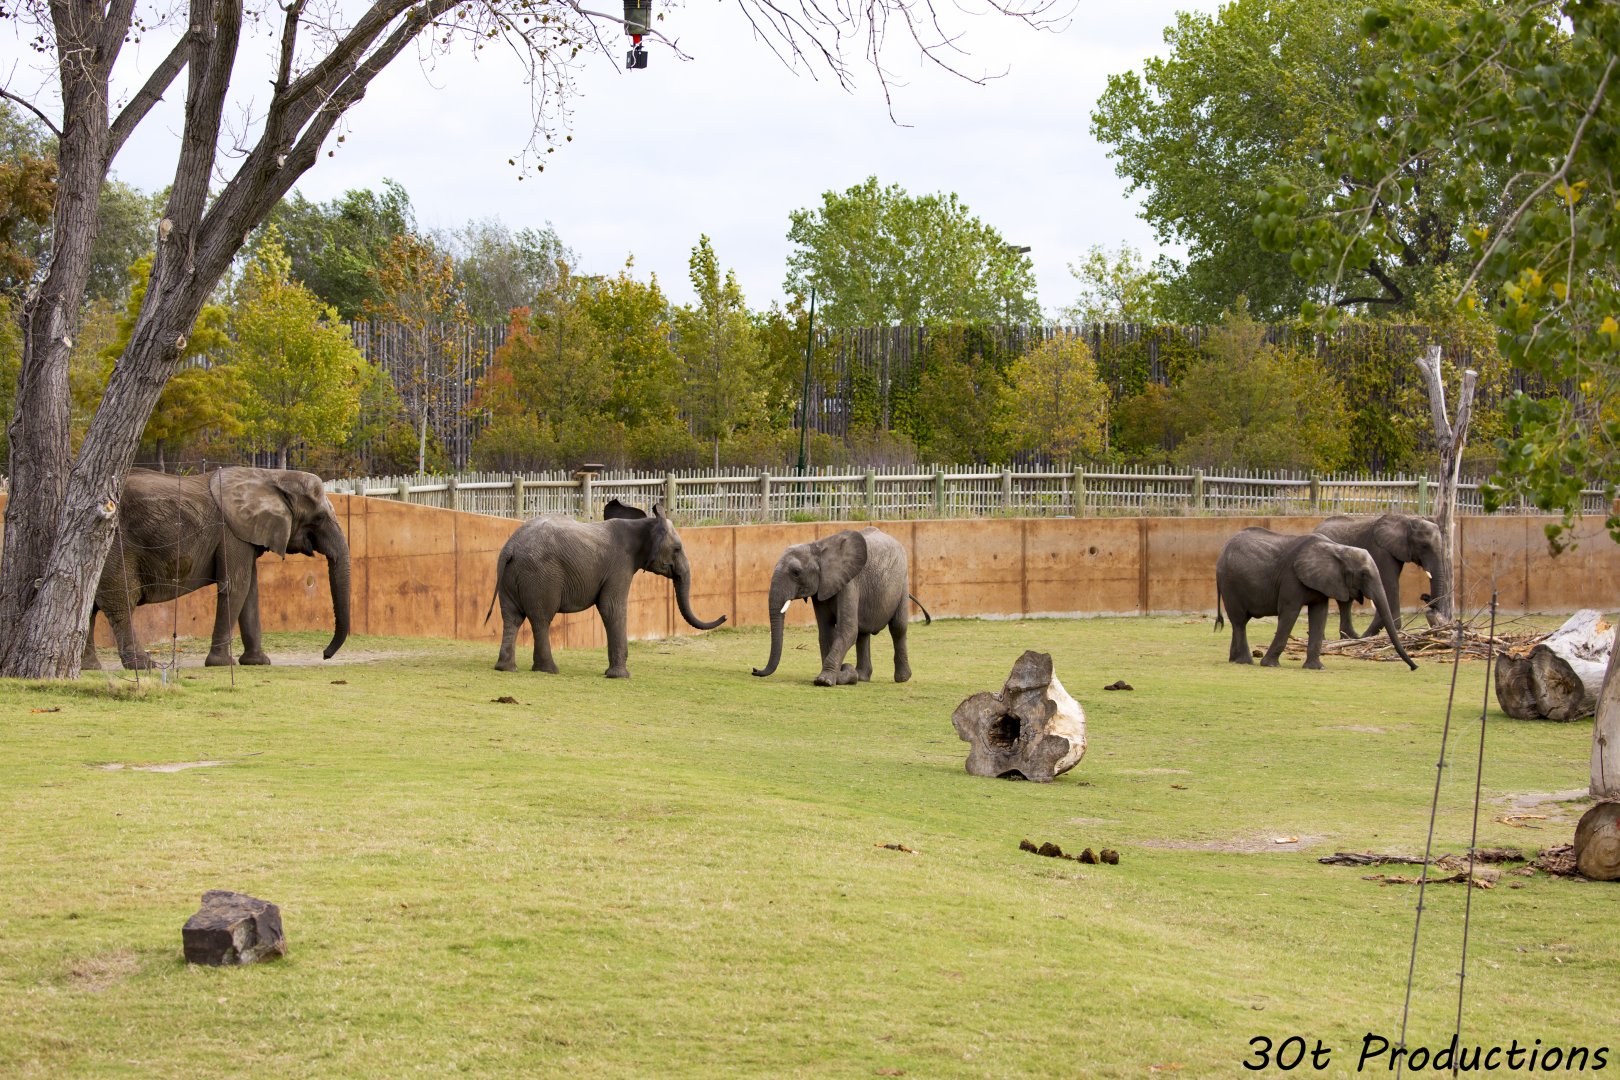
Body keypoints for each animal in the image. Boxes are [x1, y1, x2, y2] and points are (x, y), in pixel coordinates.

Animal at [85, 467, 351, 669]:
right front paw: (223, 663)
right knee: (121, 602)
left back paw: (90, 667)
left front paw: (258, 662)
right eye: (318, 518)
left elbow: (250, 592)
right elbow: (236, 587)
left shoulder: (244, 537)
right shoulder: (232, 534)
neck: (270, 475)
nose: (325, 655)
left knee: (90, 607)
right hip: (114, 547)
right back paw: (144, 666)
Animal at [487, 499, 726, 678]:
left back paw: (507, 668)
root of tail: (511, 548)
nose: (724, 616)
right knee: (541, 618)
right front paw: (620, 676)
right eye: (677, 549)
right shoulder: (619, 565)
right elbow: (611, 608)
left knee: (511, 617)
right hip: (540, 576)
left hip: (508, 575)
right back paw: (548, 670)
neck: (643, 525)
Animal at [750, 526, 931, 686]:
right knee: (862, 633)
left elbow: (846, 630)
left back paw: (902, 678)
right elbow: (826, 632)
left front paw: (825, 680)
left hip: (902, 581)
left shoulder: (849, 583)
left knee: (898, 628)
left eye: (796, 572)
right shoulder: (822, 588)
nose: (754, 670)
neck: (818, 548)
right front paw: (842, 675)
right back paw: (862, 677)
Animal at [1214, 527, 1417, 671]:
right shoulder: (1291, 578)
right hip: (1231, 584)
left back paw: (1234, 660)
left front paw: (1316, 668)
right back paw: (1245, 662)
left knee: (1239, 623)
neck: (1338, 548)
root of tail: (1221, 554)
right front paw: (1270, 665)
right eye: (1364, 574)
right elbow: (1289, 613)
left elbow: (1320, 615)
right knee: (1240, 621)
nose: (1414, 667)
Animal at [1313, 513, 1444, 638]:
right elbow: (1390, 588)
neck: (1407, 519)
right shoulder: (1381, 551)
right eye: (1424, 546)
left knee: (1345, 601)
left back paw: (1347, 637)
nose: (1424, 596)